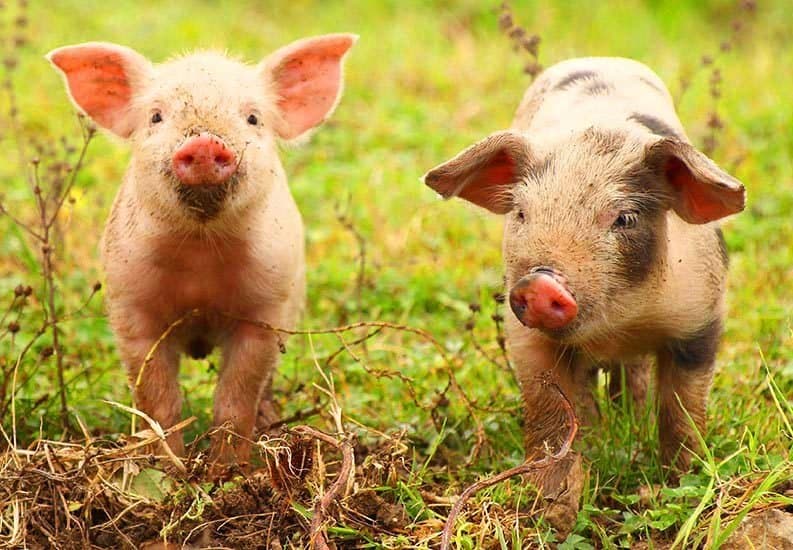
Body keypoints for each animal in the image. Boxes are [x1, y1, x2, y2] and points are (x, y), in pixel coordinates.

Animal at [47, 35, 357, 466]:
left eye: (253, 118)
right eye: (156, 117)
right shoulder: (131, 307)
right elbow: (157, 398)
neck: (200, 256)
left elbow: (236, 396)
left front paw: (228, 470)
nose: (205, 142)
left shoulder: (265, 311)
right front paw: (167, 468)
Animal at [423, 57, 745, 525]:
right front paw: (551, 510)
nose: (541, 282)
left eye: (625, 218)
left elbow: (682, 410)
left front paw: (681, 483)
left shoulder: (701, 317)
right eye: (522, 213)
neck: (617, 323)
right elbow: (550, 416)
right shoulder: (527, 338)